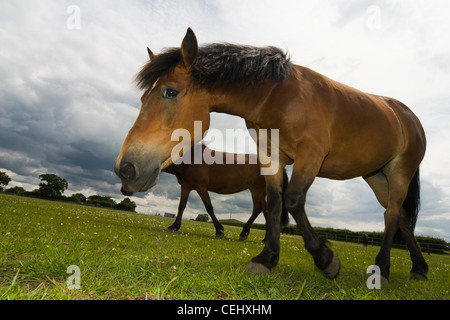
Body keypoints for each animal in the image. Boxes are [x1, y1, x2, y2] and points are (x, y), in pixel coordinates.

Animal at [114, 26, 428, 282]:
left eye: (170, 92)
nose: (125, 169)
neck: (280, 96)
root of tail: (406, 115)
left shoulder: (311, 155)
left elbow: (293, 200)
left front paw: (325, 258)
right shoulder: (271, 158)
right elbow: (276, 204)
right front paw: (267, 258)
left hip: (400, 171)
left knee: (390, 214)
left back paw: (382, 268)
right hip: (376, 175)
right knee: (400, 215)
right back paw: (419, 268)